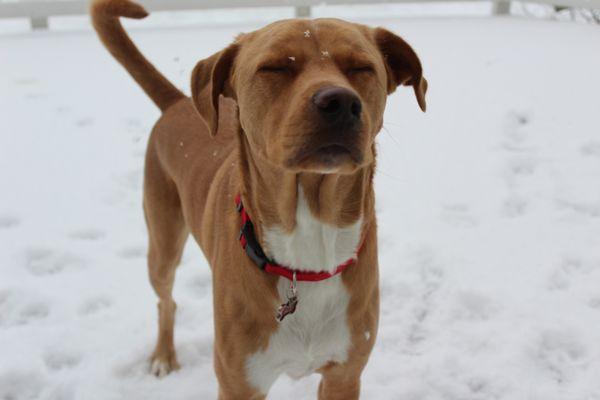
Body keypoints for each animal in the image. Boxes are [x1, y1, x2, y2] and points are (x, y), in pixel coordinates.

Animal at [90, 1, 426, 398]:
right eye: (275, 67)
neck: (307, 253)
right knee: (166, 300)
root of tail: (178, 103)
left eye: (361, 67)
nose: (341, 101)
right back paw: (163, 355)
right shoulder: (240, 380)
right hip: (162, 240)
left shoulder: (344, 374)